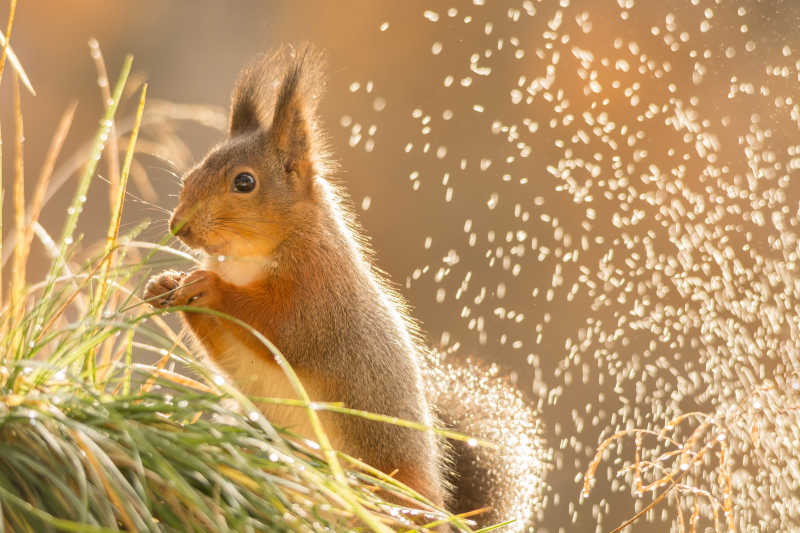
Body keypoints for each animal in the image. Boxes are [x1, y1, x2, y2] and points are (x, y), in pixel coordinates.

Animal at [145, 47, 544, 528]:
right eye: (189, 175)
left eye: (244, 182)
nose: (178, 226)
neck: (246, 260)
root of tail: (439, 507)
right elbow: (228, 352)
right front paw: (164, 286)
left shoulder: (320, 293)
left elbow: (282, 327)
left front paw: (211, 287)